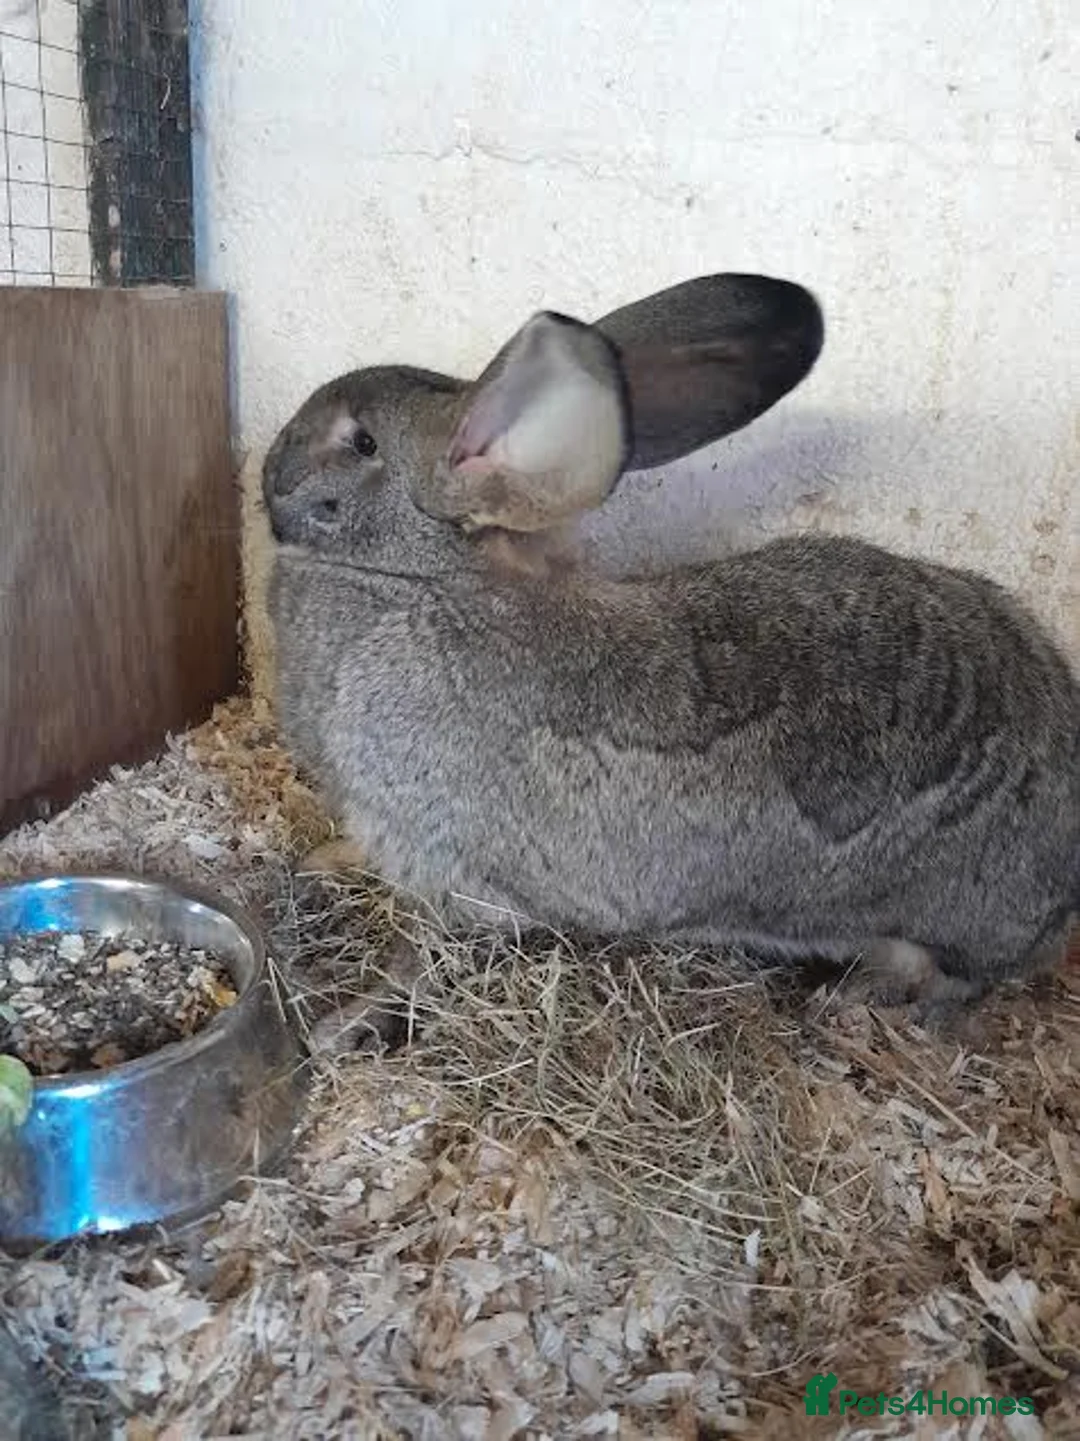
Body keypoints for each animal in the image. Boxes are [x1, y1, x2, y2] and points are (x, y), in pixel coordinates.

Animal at [263, 272, 1079, 1041]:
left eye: (361, 443)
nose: (270, 472)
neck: (419, 577)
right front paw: (323, 860)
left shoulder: (451, 866)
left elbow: (422, 951)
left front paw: (345, 1023)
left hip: (938, 929)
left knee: (947, 980)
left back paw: (855, 1002)